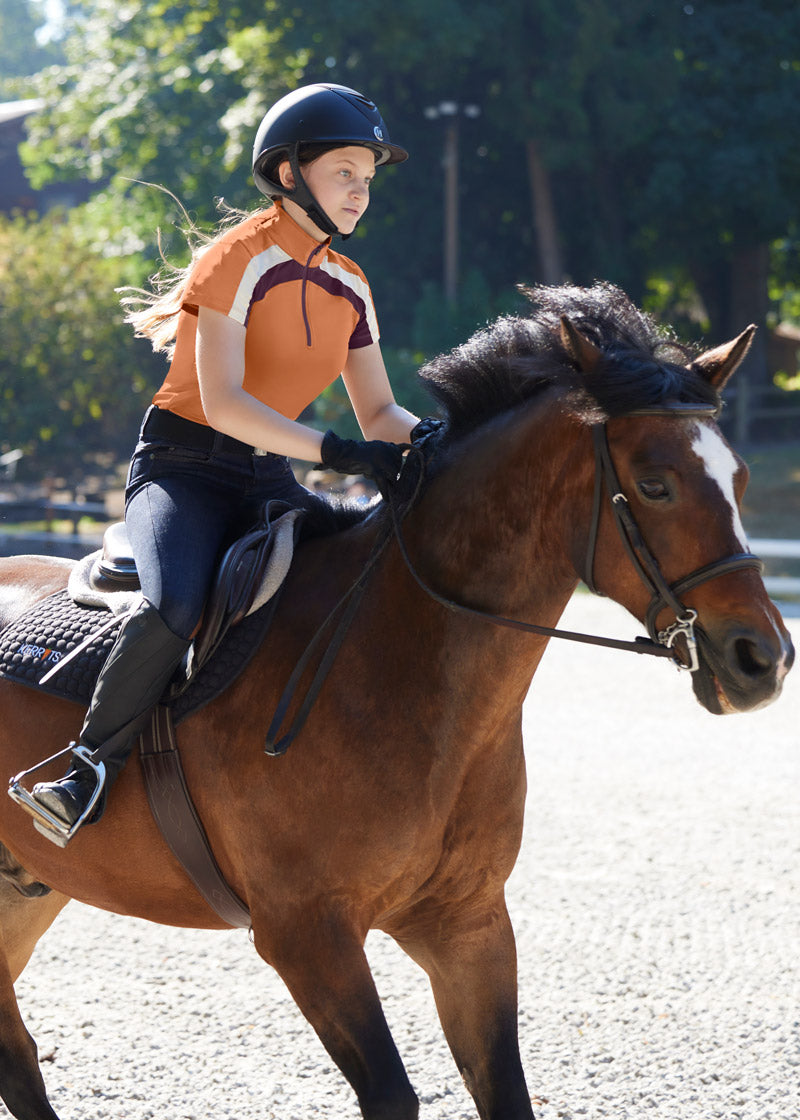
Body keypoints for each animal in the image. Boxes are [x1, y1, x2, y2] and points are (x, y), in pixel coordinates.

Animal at [0, 284, 788, 1120]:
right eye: (655, 483)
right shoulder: (308, 936)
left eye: (738, 480)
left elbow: (504, 1087)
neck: (406, 671)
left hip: (28, 888)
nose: (764, 658)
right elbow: (391, 1093)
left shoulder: (468, 923)